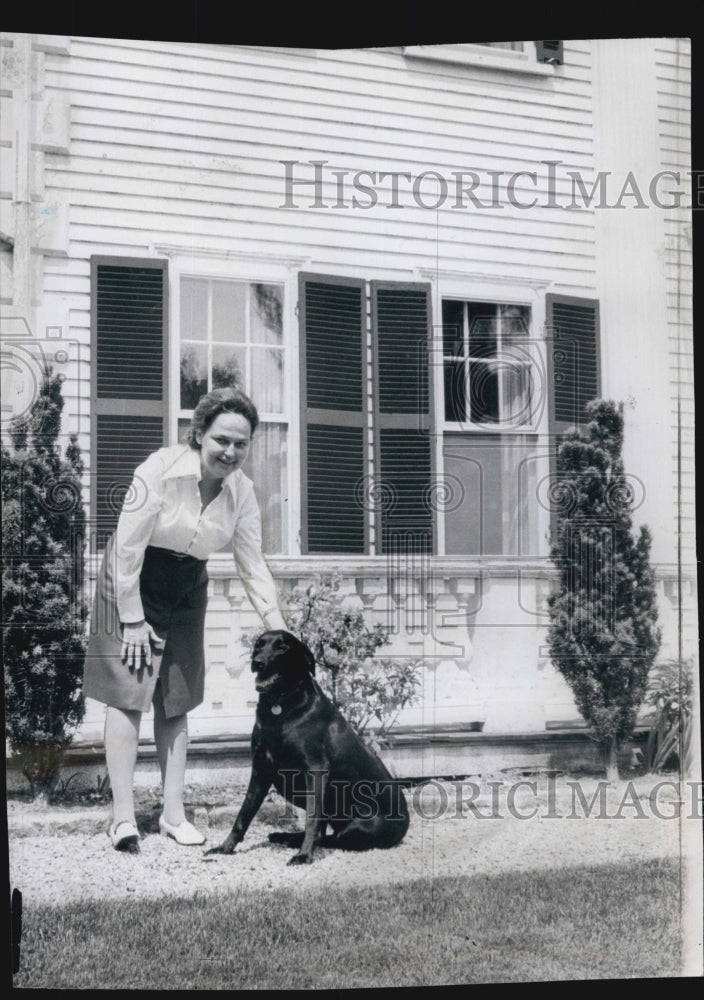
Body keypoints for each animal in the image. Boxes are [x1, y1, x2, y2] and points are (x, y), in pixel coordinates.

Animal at [206, 628, 410, 864]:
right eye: (259, 645)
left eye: (283, 647)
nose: (257, 663)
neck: (280, 706)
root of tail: (407, 822)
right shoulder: (261, 769)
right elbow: (243, 814)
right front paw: (224, 847)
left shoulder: (315, 769)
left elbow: (312, 819)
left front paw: (304, 855)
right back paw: (285, 836)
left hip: (361, 826)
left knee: (332, 837)